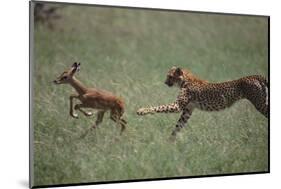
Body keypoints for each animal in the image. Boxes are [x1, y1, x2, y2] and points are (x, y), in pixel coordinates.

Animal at [137, 66, 268, 140]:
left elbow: (159, 107)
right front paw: (170, 141)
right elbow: (178, 125)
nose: (165, 82)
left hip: (261, 104)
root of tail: (255, 75)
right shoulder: (188, 110)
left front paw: (142, 110)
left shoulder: (177, 106)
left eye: (170, 76)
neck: (185, 80)